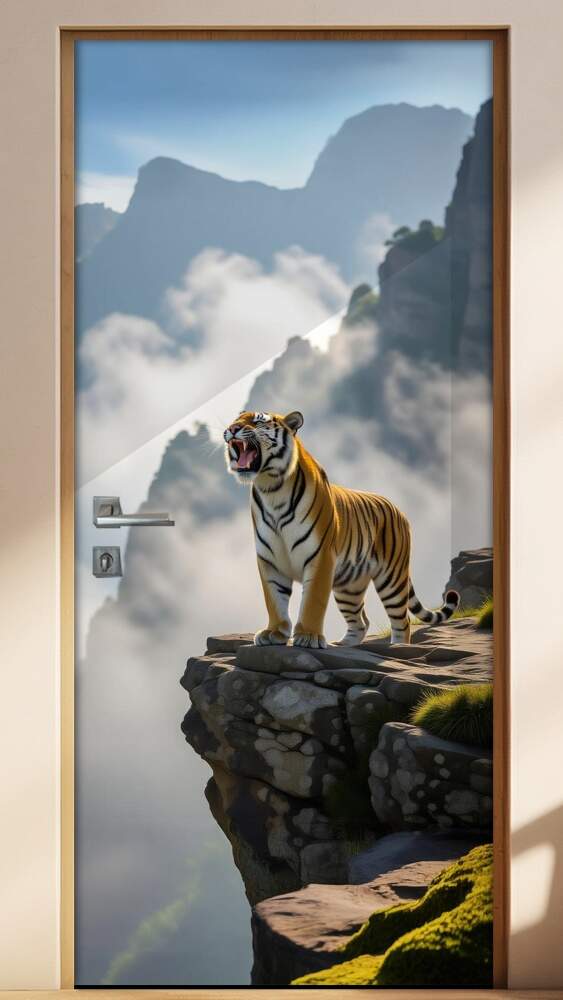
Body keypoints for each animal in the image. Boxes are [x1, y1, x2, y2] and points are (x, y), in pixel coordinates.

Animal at [224, 409, 459, 649]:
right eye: (235, 420)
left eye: (258, 421)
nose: (231, 429)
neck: (271, 488)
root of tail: (398, 509)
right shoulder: (270, 560)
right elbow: (274, 599)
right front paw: (274, 633)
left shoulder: (320, 557)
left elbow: (313, 602)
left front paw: (308, 637)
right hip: (349, 587)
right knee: (361, 622)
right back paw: (343, 645)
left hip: (391, 578)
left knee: (402, 621)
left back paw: (398, 647)